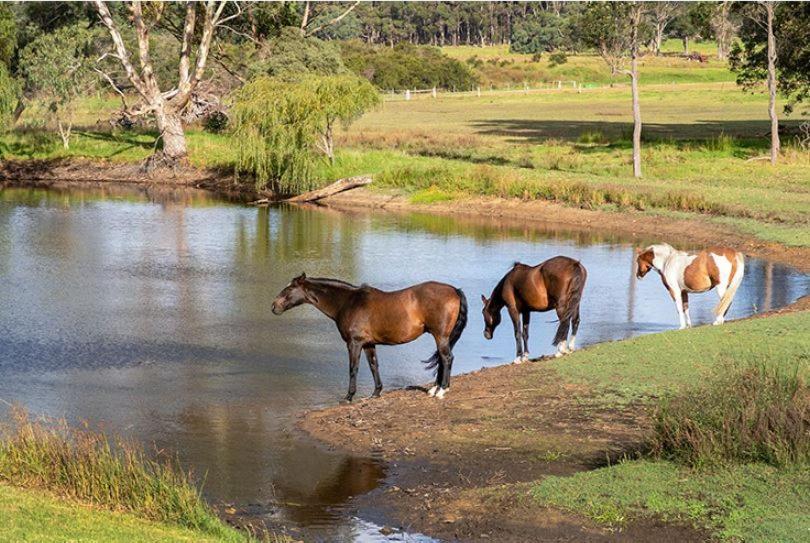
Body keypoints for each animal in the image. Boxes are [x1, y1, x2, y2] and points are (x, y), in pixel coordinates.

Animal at [270, 274, 464, 402]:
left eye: (289, 288)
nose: (274, 306)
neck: (348, 302)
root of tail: (454, 290)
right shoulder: (368, 344)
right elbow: (373, 366)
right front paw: (376, 393)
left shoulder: (354, 343)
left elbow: (353, 369)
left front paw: (349, 396)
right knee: (442, 359)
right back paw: (434, 389)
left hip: (440, 336)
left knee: (446, 358)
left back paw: (441, 391)